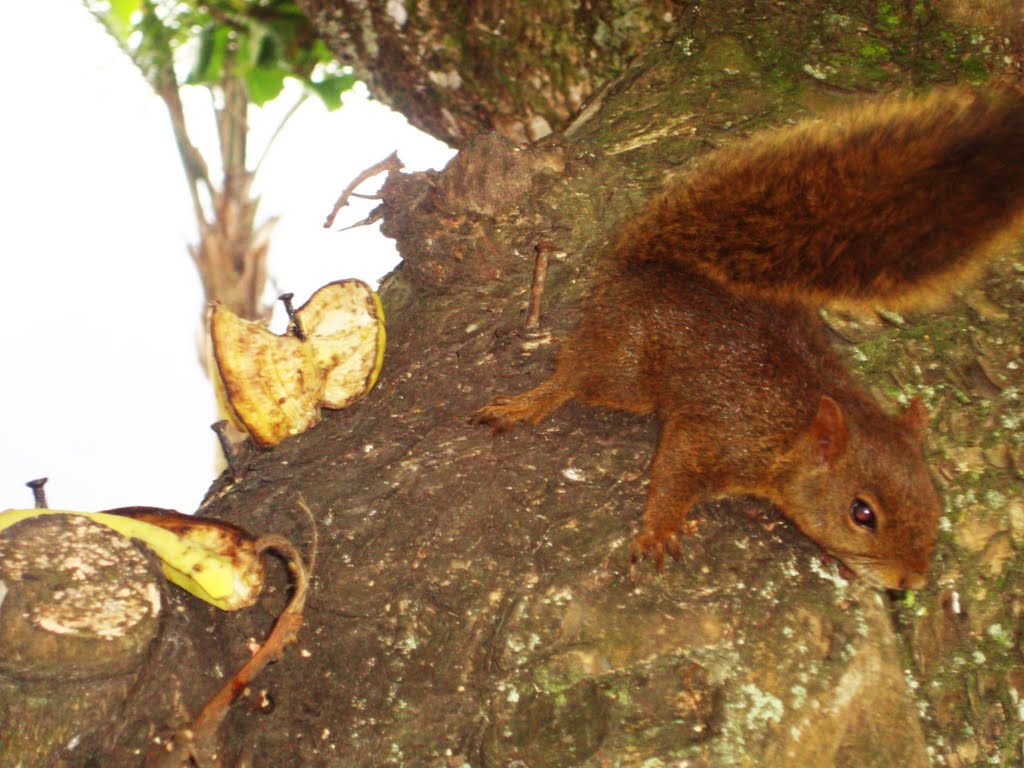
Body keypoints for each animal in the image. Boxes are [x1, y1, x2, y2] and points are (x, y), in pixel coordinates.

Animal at [475, 85, 1024, 589]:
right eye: (862, 513)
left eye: (935, 501)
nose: (910, 582)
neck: (794, 424)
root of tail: (641, 264)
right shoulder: (715, 435)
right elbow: (671, 473)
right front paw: (659, 530)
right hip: (629, 366)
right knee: (577, 372)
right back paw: (527, 403)